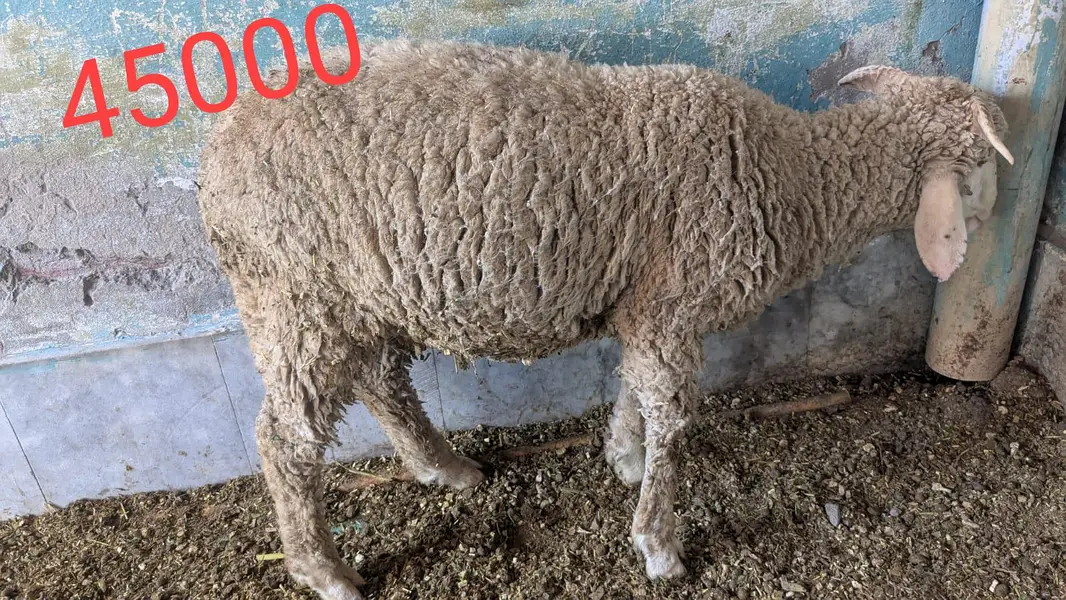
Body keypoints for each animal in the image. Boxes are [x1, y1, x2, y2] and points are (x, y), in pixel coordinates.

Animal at [195, 39, 1013, 600]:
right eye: (981, 174)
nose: (995, 223)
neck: (792, 178)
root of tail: (212, 158)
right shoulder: (674, 299)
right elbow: (673, 418)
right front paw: (659, 544)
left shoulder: (647, 302)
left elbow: (635, 389)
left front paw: (624, 455)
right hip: (291, 294)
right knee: (285, 439)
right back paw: (323, 569)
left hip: (349, 294)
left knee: (379, 382)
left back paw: (445, 468)